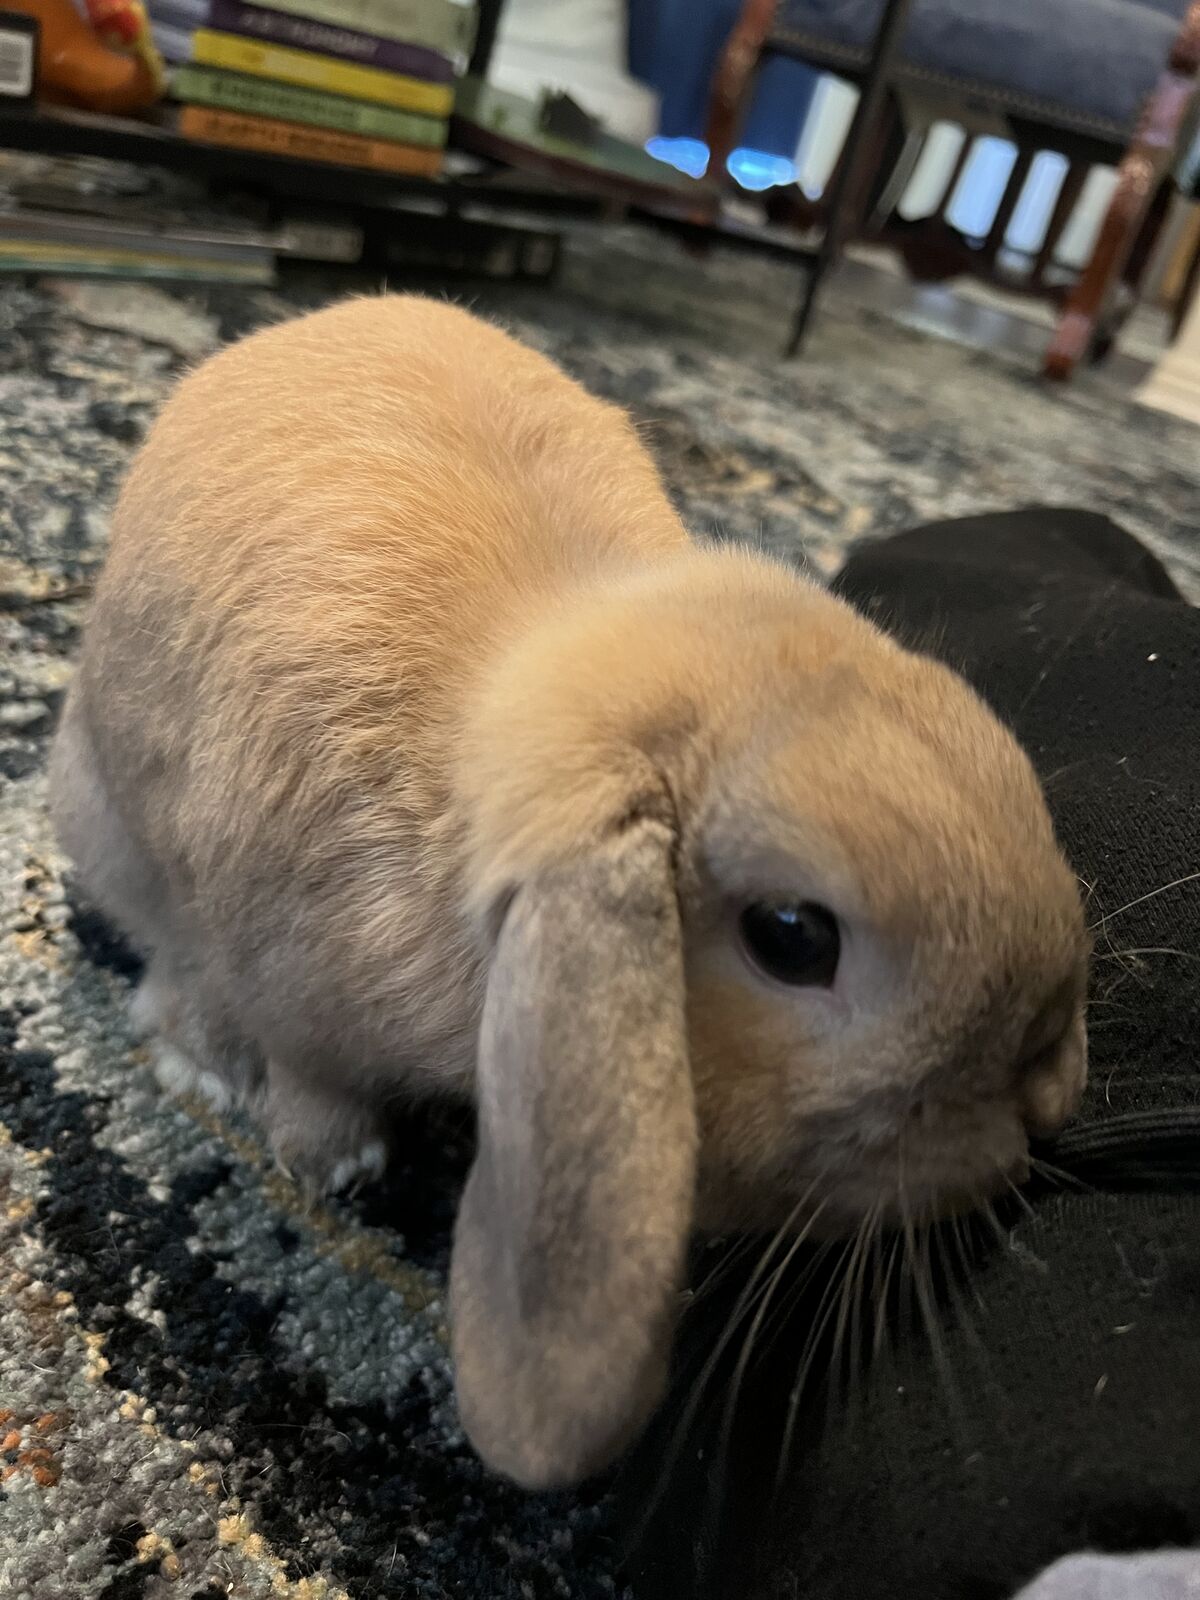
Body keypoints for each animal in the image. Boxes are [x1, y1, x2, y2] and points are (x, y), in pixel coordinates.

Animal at [49, 294, 1089, 1491]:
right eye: (792, 937)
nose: (1047, 1086)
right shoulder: (289, 981)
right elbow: (311, 1071)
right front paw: (333, 1162)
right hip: (105, 820)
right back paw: (203, 1064)